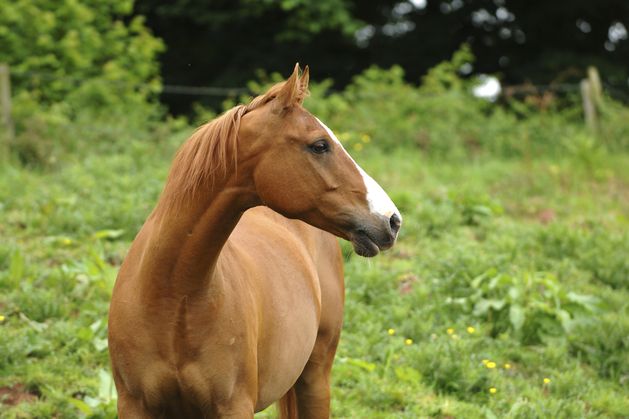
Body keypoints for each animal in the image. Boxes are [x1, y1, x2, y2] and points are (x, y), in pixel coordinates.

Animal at [106, 64, 402, 418]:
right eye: (319, 145)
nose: (392, 220)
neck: (172, 298)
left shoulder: (234, 406)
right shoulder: (134, 404)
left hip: (315, 377)